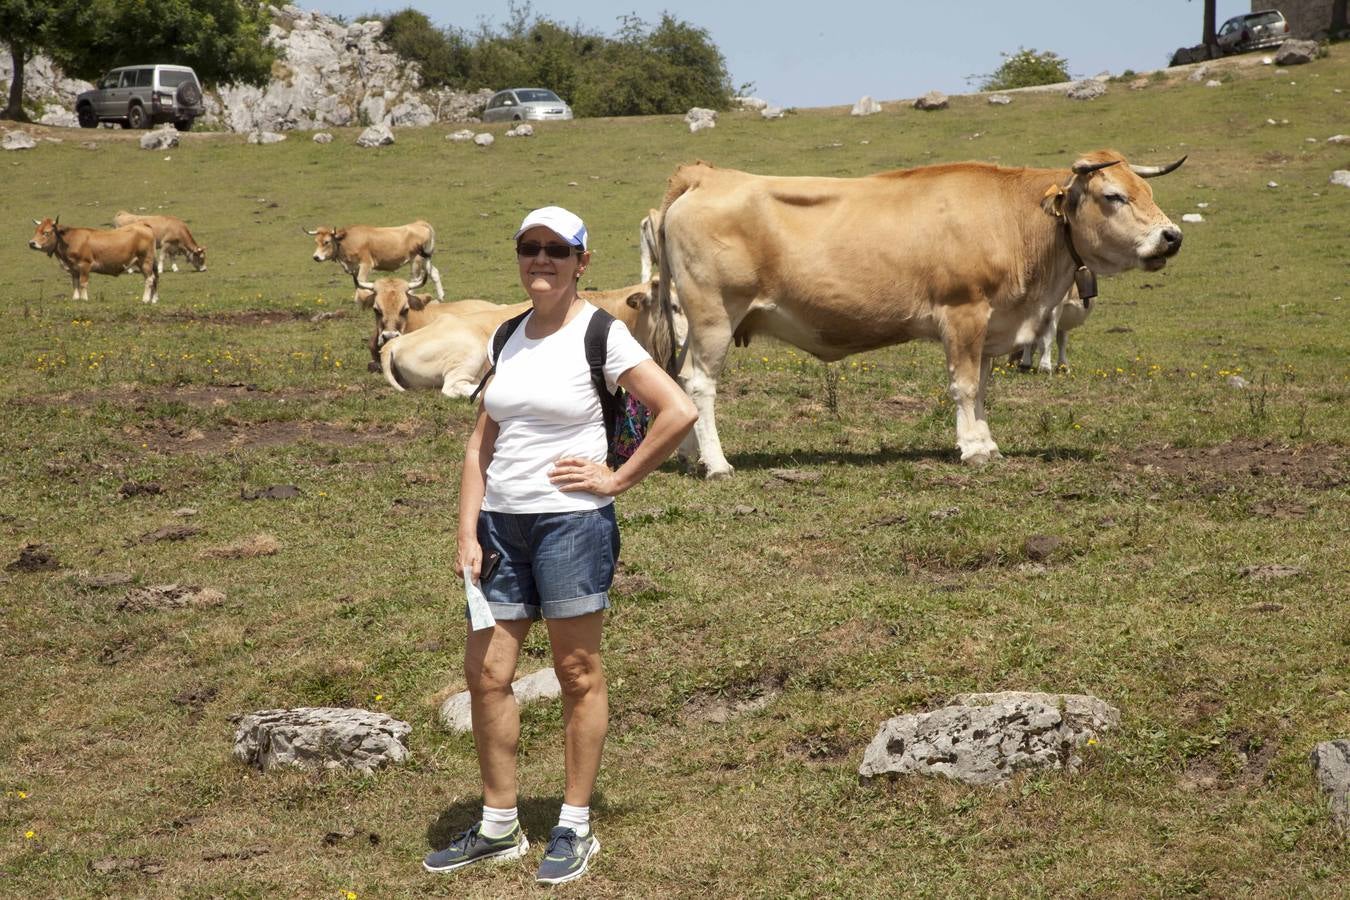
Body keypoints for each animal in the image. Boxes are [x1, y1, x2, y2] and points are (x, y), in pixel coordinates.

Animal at [653, 149, 1182, 472]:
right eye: (1113, 196)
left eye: (1149, 193)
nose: (1172, 236)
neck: (1014, 220)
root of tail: (706, 176)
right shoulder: (964, 312)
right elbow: (964, 386)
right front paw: (972, 449)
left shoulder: (992, 323)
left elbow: (982, 387)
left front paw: (987, 443)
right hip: (714, 314)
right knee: (699, 383)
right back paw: (717, 464)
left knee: (677, 378)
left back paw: (688, 457)